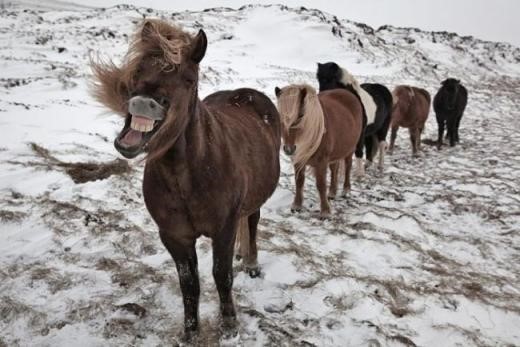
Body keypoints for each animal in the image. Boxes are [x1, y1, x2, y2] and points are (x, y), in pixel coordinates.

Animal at [91, 19, 282, 340]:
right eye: (138, 69)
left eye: (189, 79)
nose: (143, 103)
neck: (188, 176)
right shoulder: (174, 236)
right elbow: (189, 284)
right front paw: (190, 333)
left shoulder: (223, 229)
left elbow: (222, 276)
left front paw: (229, 325)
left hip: (255, 200)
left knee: (252, 222)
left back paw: (251, 262)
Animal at [274, 84, 364, 219]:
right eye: (280, 116)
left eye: (301, 115)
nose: (289, 149)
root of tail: (347, 93)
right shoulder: (298, 160)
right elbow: (299, 181)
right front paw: (297, 205)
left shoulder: (321, 162)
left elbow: (321, 185)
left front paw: (325, 211)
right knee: (334, 169)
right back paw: (332, 193)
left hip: (349, 149)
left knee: (348, 167)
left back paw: (346, 190)